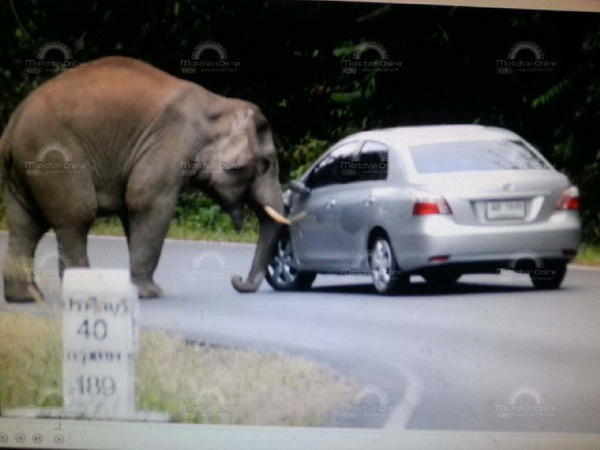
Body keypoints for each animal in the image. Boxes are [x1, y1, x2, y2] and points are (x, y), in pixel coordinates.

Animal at [0, 56, 290, 302]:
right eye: (266, 164)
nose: (237, 280)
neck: (220, 105)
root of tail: (11, 128)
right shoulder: (170, 143)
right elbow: (147, 202)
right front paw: (151, 294)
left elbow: (133, 209)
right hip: (54, 158)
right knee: (76, 217)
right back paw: (85, 291)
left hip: (26, 169)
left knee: (25, 224)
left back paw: (26, 297)